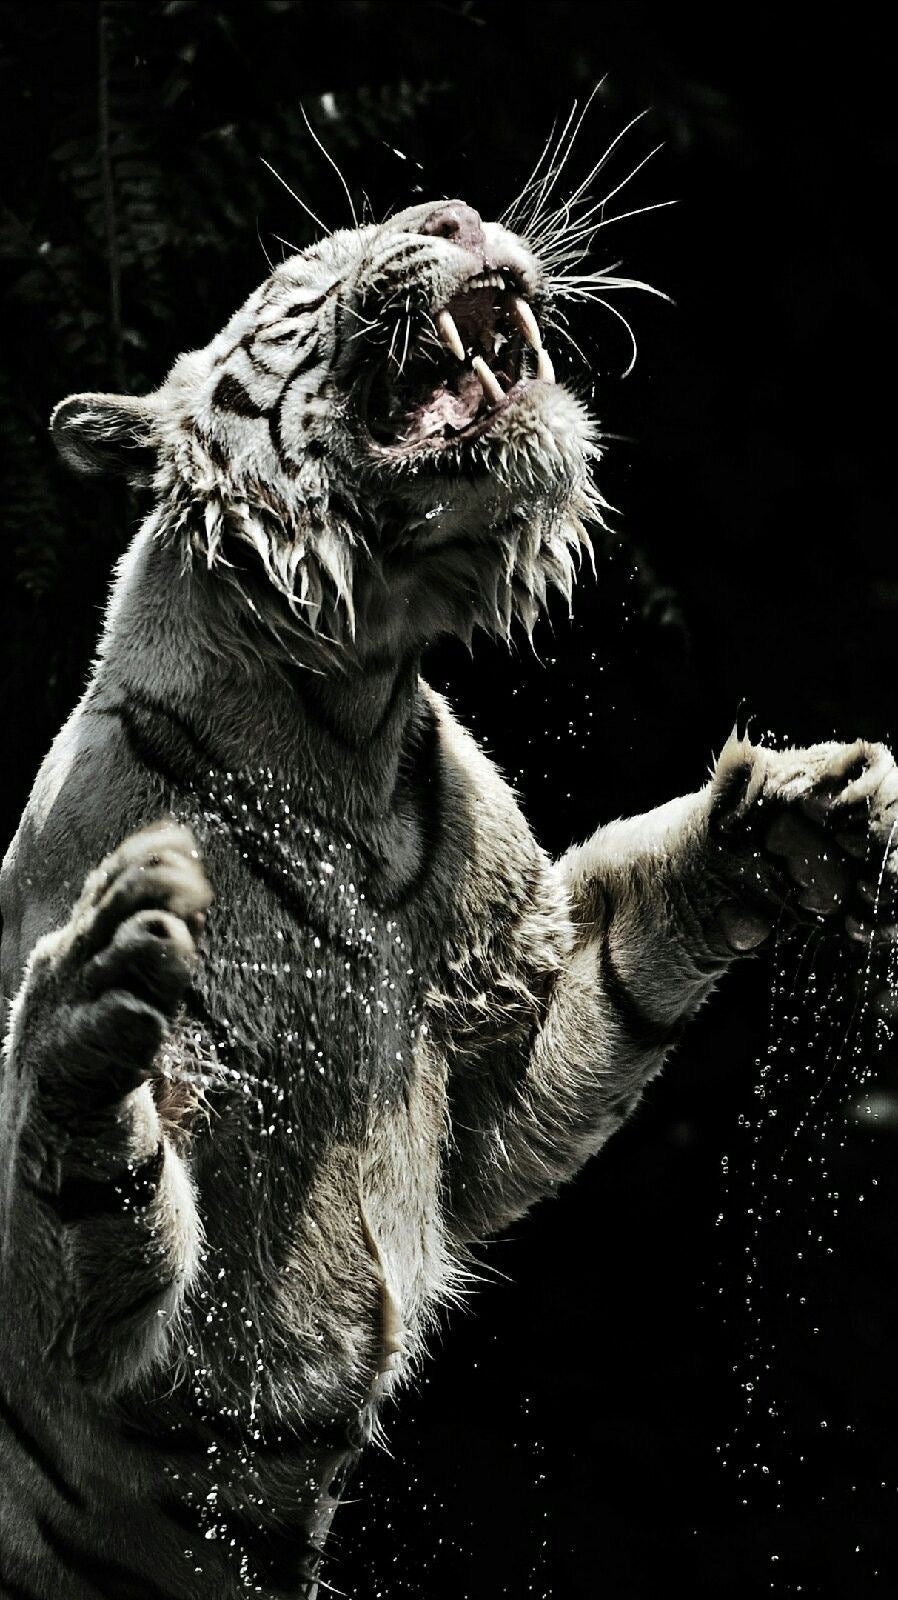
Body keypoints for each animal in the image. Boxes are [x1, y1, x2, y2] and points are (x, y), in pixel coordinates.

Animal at [1, 194, 896, 1600]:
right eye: (303, 271)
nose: (457, 213)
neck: (347, 713)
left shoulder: (492, 1046)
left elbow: (625, 955)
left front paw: (798, 812)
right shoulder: (106, 1337)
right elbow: (84, 1193)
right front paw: (97, 992)